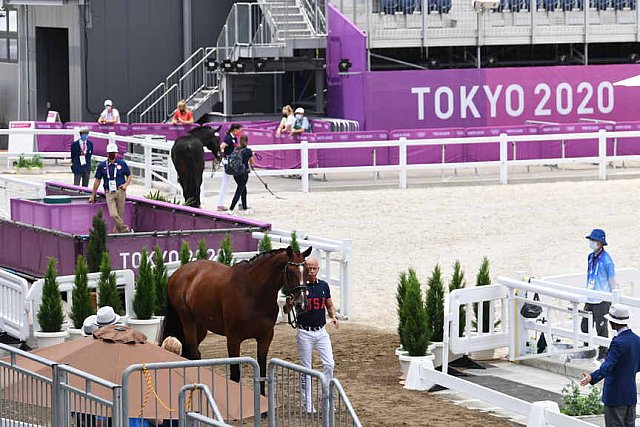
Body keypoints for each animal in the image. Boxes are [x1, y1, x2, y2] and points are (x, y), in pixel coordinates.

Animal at [159, 246, 312, 392]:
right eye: (290, 271)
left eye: (307, 271)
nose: (301, 304)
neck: (253, 293)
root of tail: (177, 273)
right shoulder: (233, 338)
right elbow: (235, 375)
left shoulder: (265, 337)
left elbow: (262, 374)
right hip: (187, 321)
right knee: (194, 354)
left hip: (201, 327)